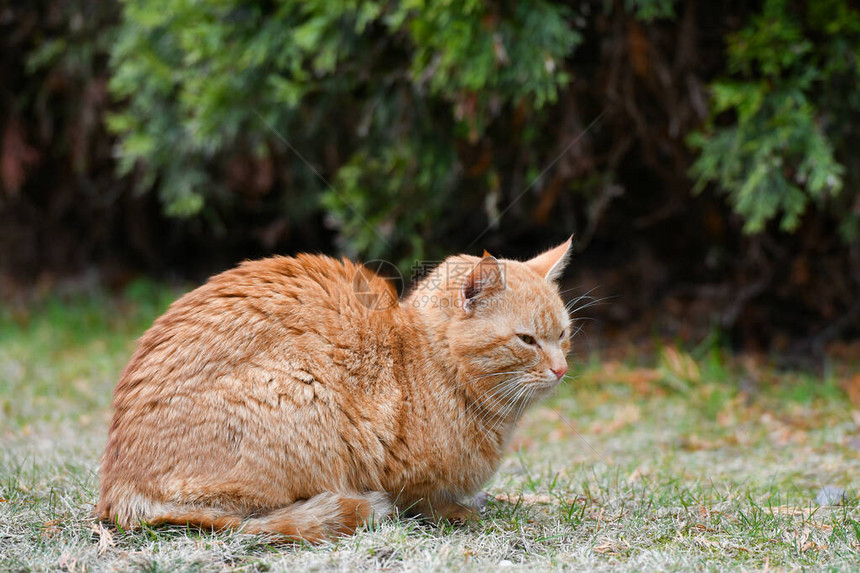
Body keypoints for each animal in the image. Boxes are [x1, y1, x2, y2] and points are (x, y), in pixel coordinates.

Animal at [97, 238, 576, 540]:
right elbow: (420, 500)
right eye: (527, 340)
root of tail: (119, 489)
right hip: (299, 389)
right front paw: (454, 512)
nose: (561, 368)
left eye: (563, 335)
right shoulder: (397, 470)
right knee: (233, 516)